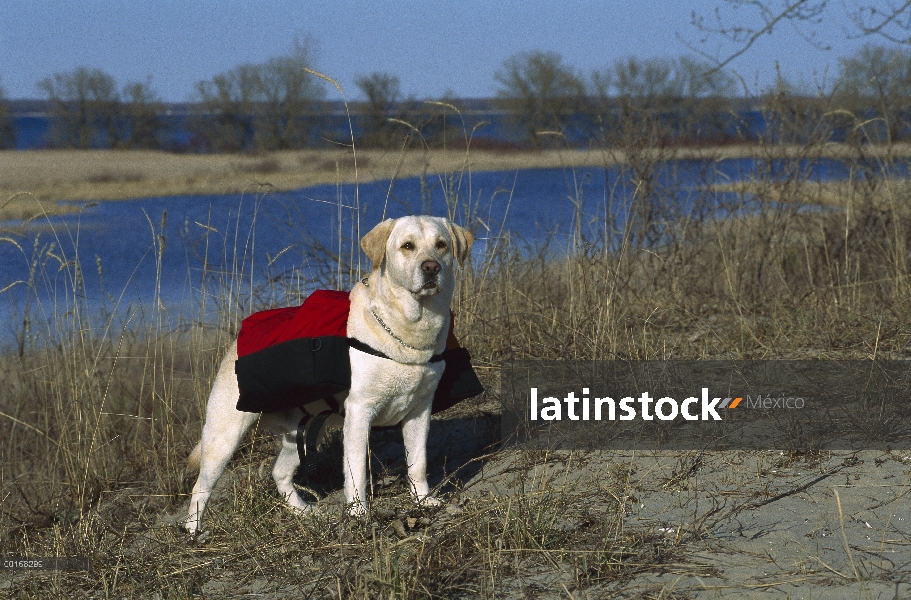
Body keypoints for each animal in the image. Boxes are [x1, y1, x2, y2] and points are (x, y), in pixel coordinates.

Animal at [183, 213, 474, 532]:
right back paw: (194, 531)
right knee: (201, 486)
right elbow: (356, 469)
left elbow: (418, 462)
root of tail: (234, 342)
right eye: (407, 246)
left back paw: (302, 511)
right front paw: (359, 514)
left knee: (279, 472)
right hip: (223, 435)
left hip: (300, 432)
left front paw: (423, 500)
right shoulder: (360, 412)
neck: (408, 330)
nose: (431, 267)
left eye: (442, 245)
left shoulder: (419, 412)